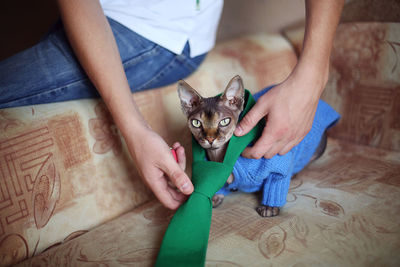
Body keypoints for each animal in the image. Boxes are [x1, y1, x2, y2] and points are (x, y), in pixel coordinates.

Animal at [177, 75, 326, 218]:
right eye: (196, 123)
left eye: (224, 121)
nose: (210, 139)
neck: (220, 157)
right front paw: (215, 196)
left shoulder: (280, 159)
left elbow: (276, 182)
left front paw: (269, 207)